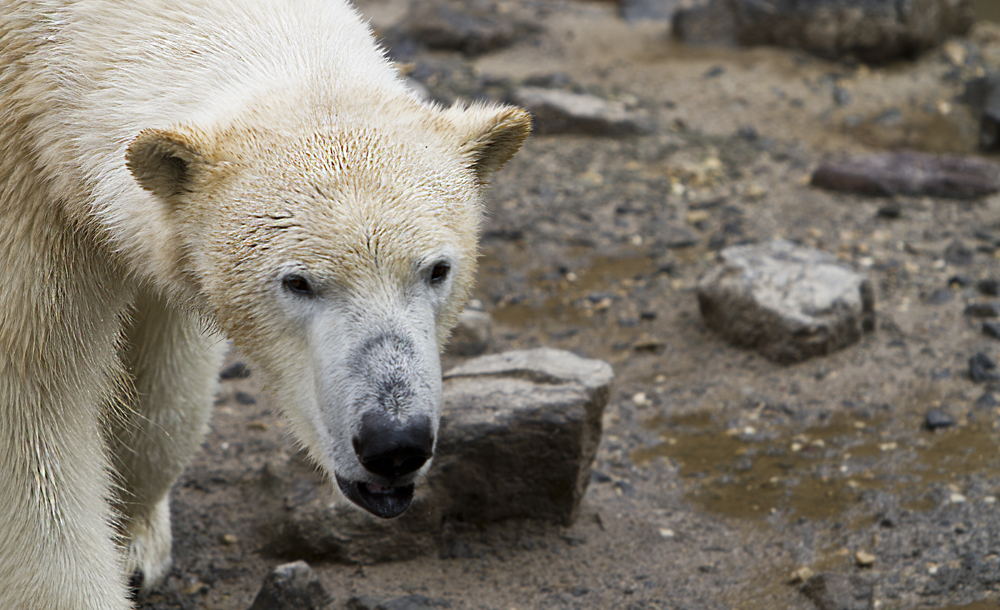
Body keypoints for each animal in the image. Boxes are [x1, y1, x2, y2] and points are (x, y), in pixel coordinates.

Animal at [0, 1, 532, 608]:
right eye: (297, 282)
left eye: (438, 269)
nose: (393, 441)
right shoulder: (22, 202)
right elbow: (33, 411)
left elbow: (163, 369)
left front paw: (137, 538)